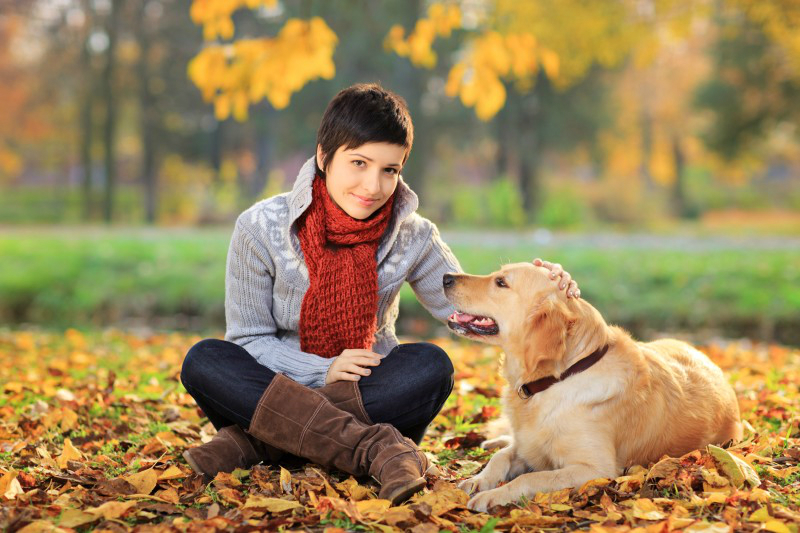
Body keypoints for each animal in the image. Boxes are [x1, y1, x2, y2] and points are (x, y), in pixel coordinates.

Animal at [440, 262, 740, 512]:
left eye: (501, 282)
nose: (446, 277)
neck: (560, 377)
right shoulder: (529, 444)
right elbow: (502, 456)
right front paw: (479, 479)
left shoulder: (595, 469)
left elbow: (531, 477)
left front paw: (492, 496)